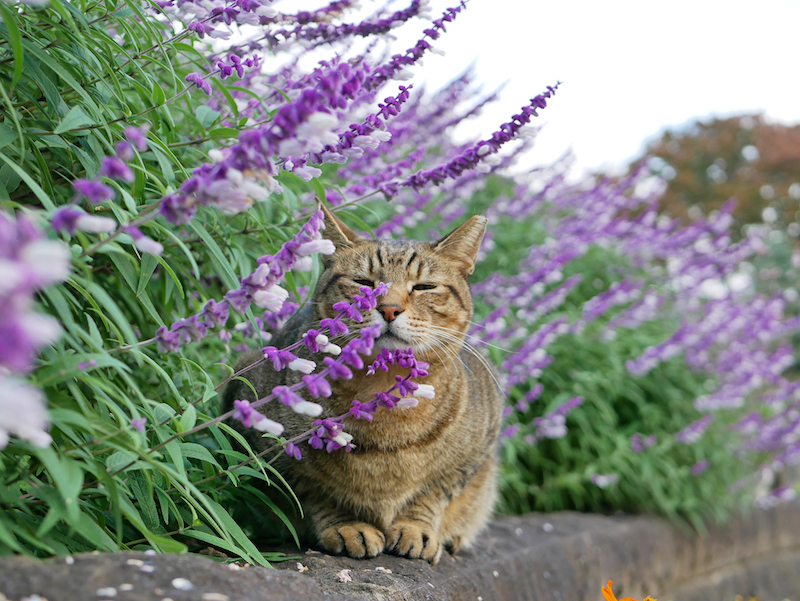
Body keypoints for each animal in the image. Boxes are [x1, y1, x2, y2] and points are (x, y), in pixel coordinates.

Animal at [222, 204, 504, 564]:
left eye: (424, 287)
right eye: (363, 282)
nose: (389, 308)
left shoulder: (471, 456)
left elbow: (432, 495)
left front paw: (417, 528)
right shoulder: (268, 446)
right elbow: (314, 493)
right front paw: (346, 526)